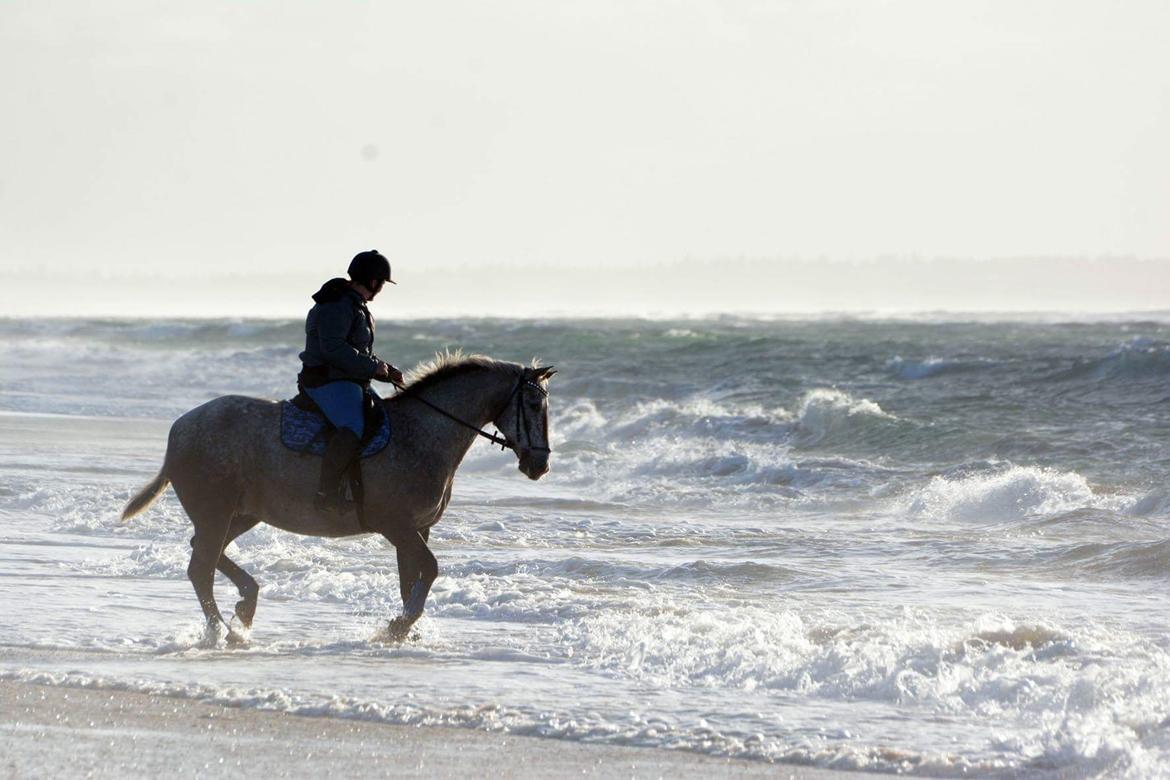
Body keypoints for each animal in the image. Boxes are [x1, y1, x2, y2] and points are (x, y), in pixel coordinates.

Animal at [121, 357, 554, 645]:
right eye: (534, 405)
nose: (540, 464)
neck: (422, 433)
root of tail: (179, 430)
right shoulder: (396, 525)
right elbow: (429, 570)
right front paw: (398, 626)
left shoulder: (416, 529)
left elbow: (410, 581)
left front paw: (404, 632)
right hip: (217, 512)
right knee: (201, 568)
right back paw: (224, 629)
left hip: (241, 514)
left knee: (205, 556)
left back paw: (245, 605)